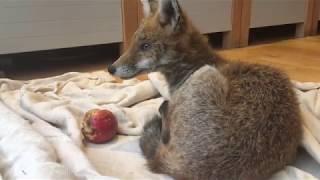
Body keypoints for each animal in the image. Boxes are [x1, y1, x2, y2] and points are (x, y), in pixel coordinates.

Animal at [108, 0, 302, 180]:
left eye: (146, 46)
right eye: (133, 43)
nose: (110, 68)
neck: (191, 67)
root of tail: (179, 167)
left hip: (206, 74)